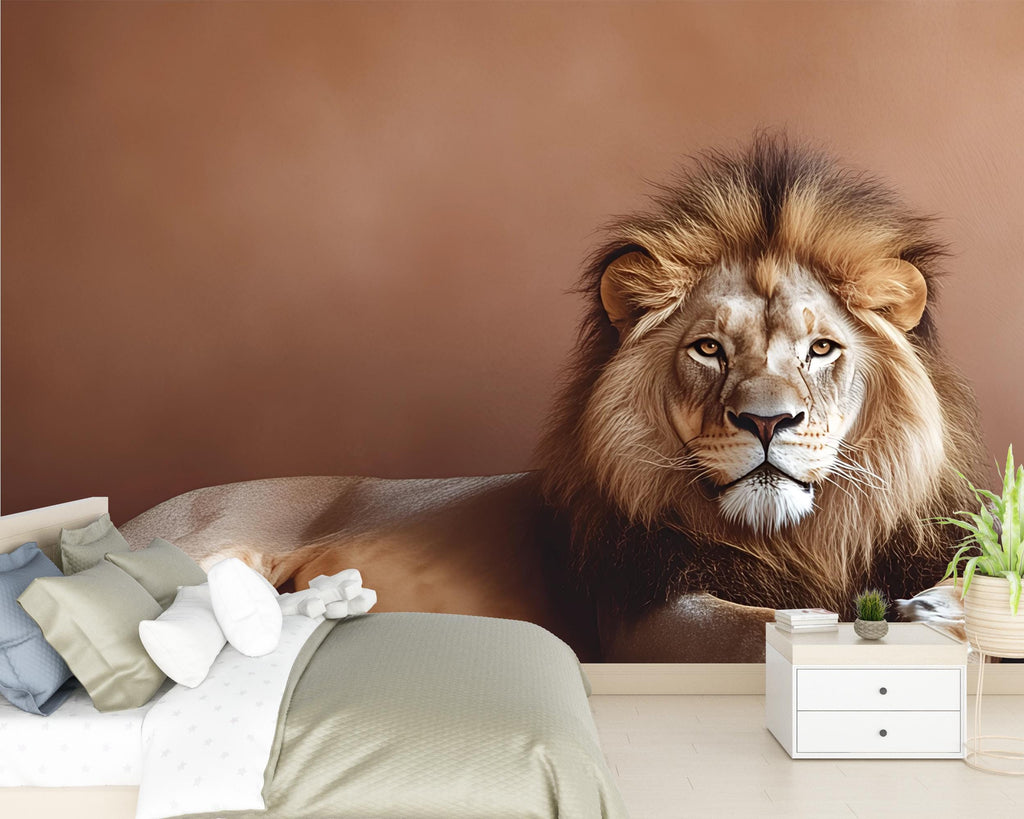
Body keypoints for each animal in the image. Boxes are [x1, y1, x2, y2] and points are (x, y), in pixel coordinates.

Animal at [120, 136, 986, 662]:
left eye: (821, 349)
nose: (767, 420)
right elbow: (778, 626)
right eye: (709, 348)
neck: (800, 541)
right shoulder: (648, 620)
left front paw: (935, 608)